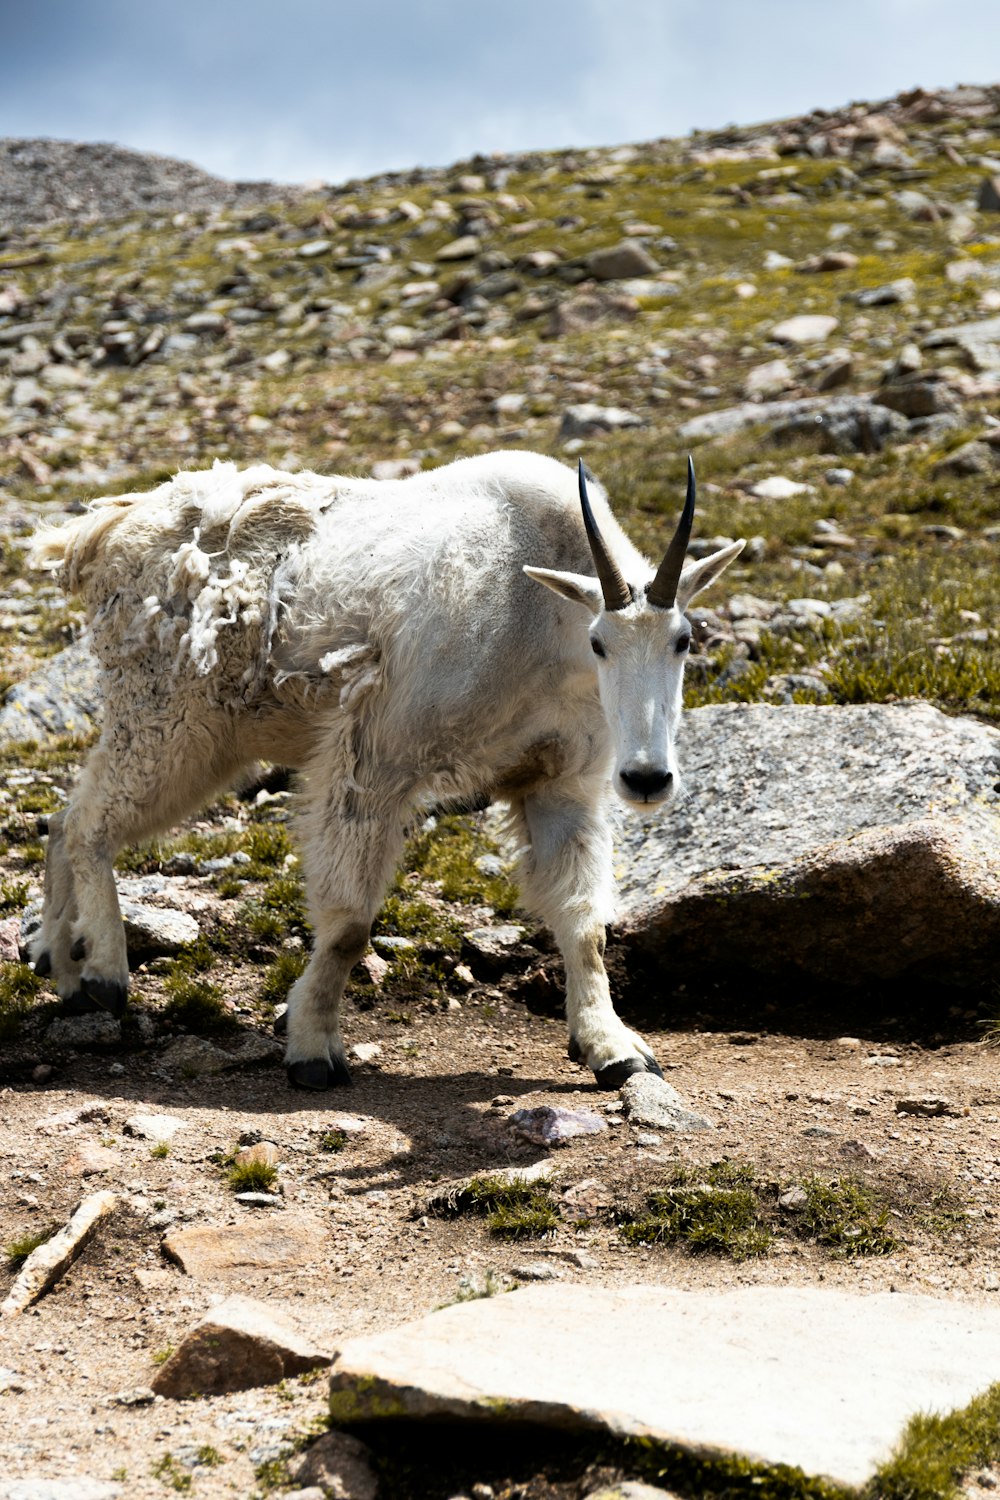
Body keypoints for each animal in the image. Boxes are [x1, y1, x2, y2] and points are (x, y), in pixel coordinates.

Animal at [31, 444, 743, 1092]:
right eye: (599, 642)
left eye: (684, 640)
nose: (647, 779)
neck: (538, 621)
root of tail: (99, 534)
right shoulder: (376, 758)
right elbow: (349, 925)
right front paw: (312, 1052)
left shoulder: (558, 780)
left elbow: (585, 921)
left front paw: (613, 1048)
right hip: (170, 721)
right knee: (89, 822)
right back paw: (103, 971)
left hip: (196, 735)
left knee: (65, 817)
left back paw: (57, 964)